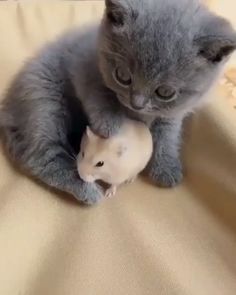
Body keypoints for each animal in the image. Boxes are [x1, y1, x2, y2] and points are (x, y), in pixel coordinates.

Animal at [0, 0, 236, 205]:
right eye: (123, 76)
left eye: (165, 92)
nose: (137, 103)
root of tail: (7, 107)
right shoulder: (83, 64)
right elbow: (98, 94)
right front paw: (111, 126)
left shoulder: (172, 111)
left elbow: (168, 133)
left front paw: (166, 166)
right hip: (43, 100)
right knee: (41, 156)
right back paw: (88, 191)